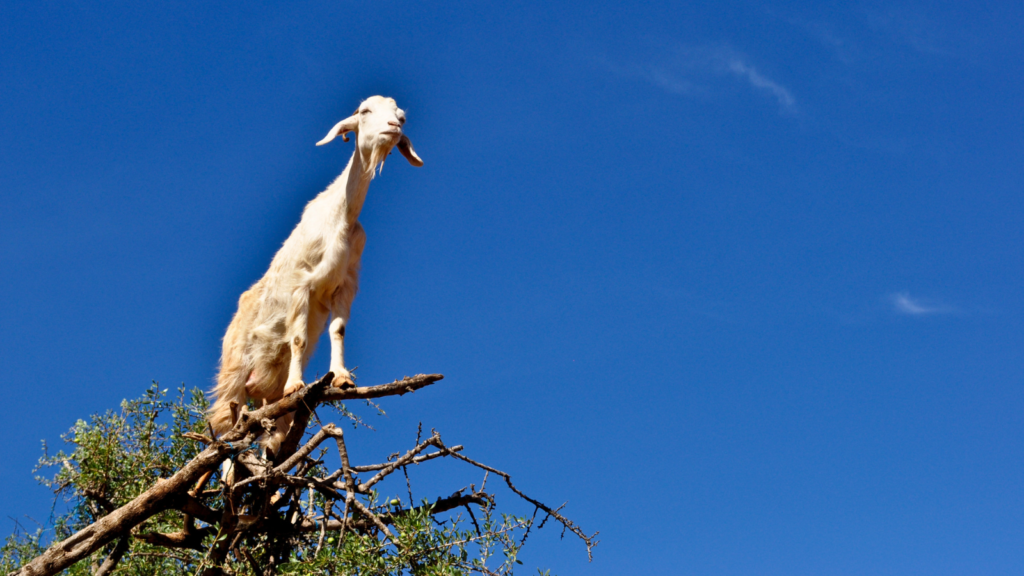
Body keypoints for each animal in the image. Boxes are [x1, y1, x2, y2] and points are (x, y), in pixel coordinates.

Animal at [208, 96, 423, 450]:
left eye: (401, 117)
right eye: (365, 111)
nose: (392, 127)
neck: (340, 218)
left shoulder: (344, 286)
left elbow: (338, 330)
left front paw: (342, 378)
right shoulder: (302, 284)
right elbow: (297, 338)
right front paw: (296, 385)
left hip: (266, 396)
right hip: (233, 375)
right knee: (225, 435)